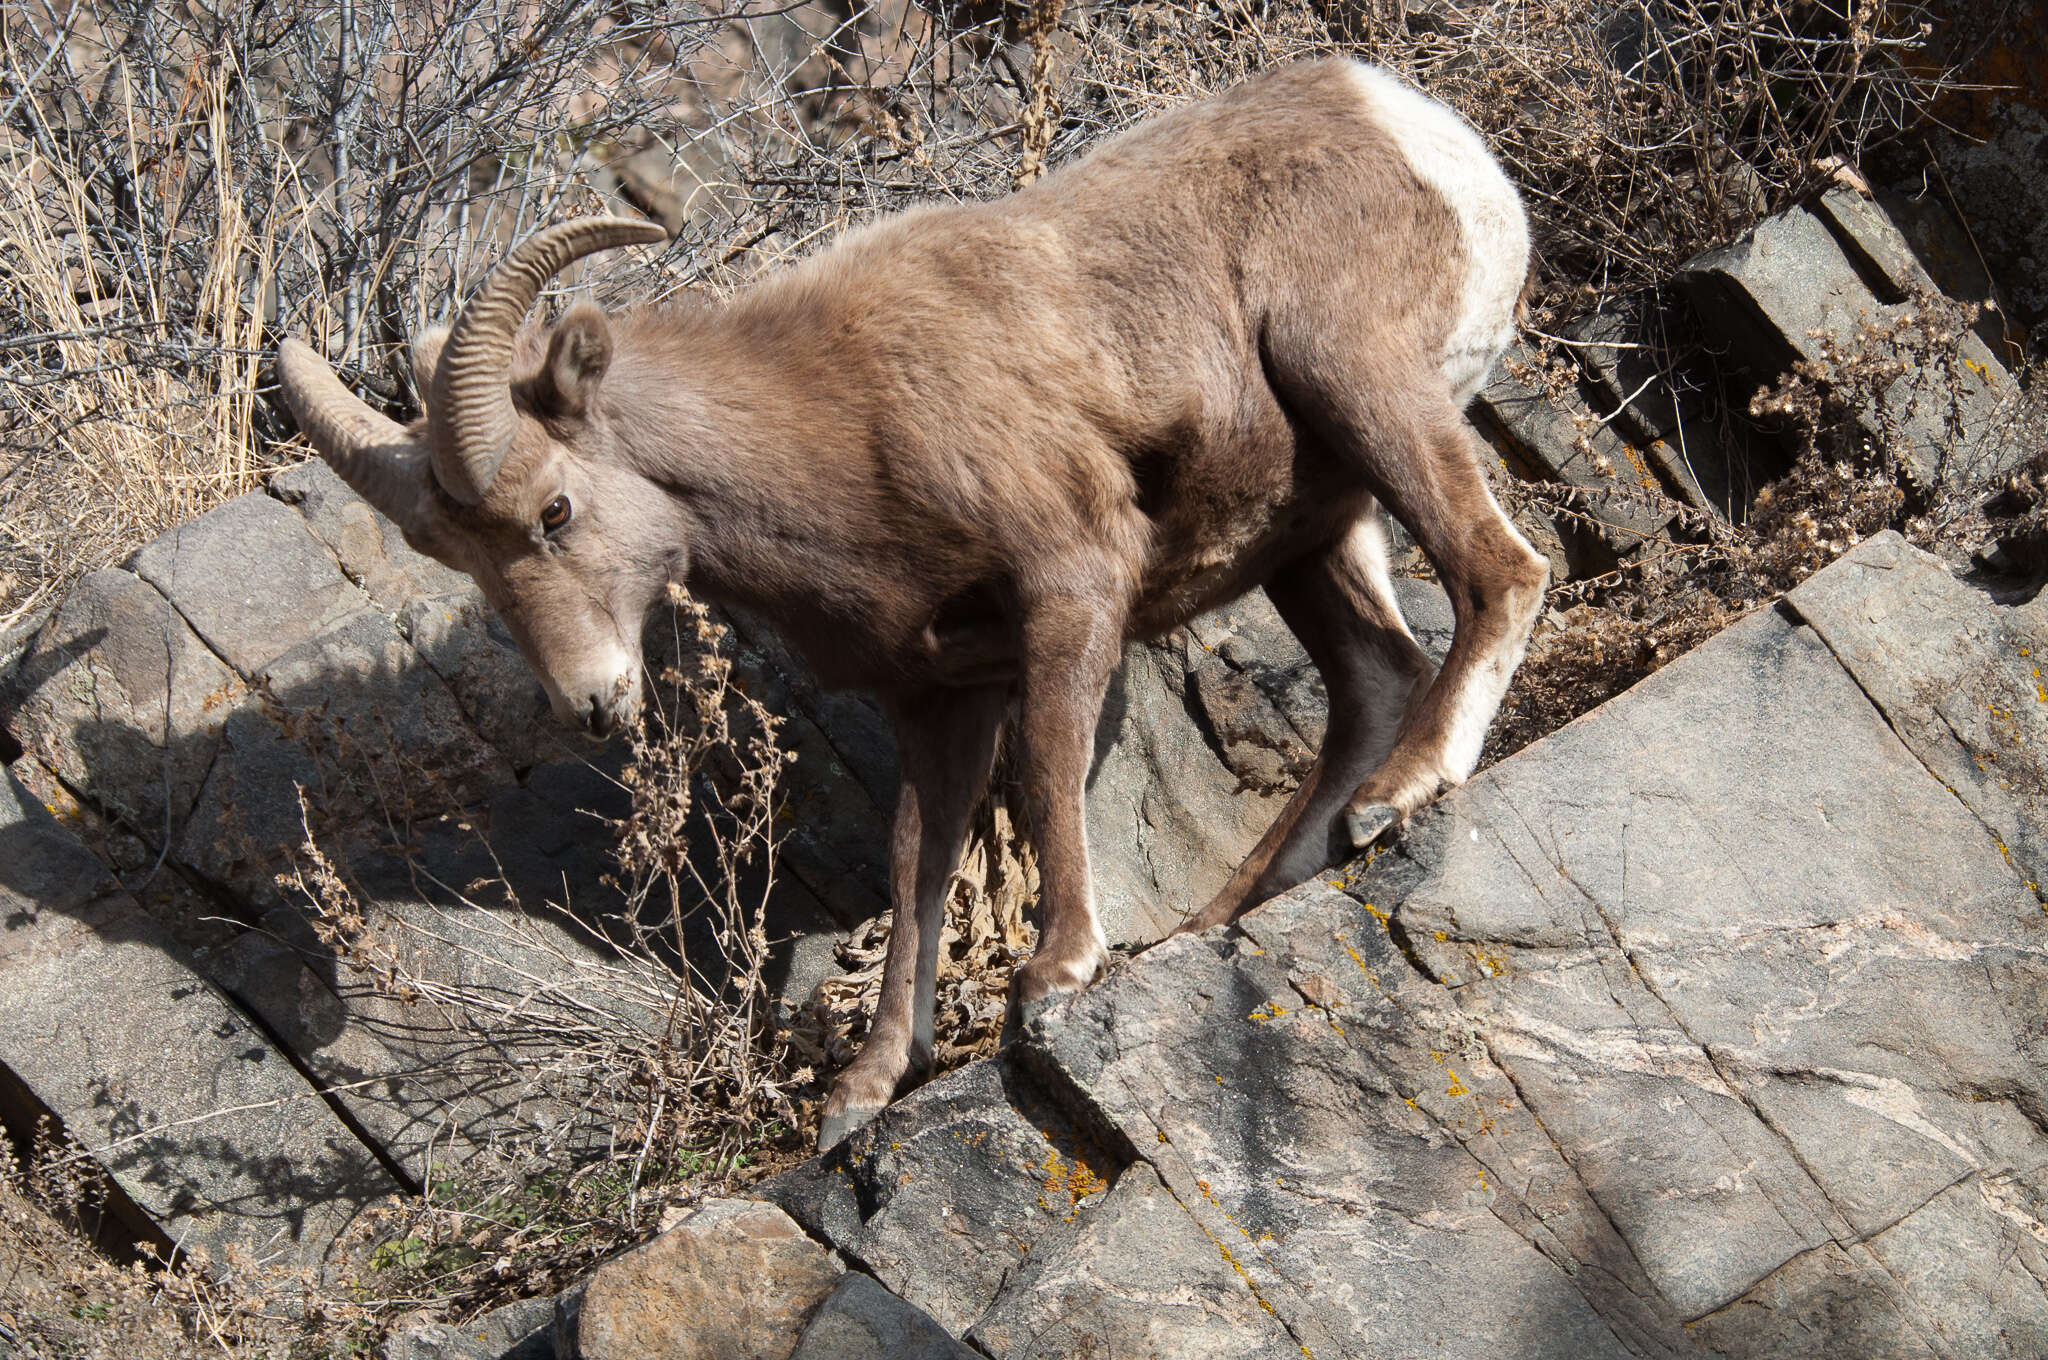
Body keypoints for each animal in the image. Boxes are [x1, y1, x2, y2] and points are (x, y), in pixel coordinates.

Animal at [280, 61, 1540, 1146]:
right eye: (466, 565)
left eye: (553, 509)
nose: (592, 702)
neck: (842, 425)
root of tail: (1414, 128)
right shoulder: (936, 695)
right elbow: (914, 867)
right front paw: (866, 1090)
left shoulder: (1069, 587)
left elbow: (1044, 773)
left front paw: (1054, 973)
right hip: (1308, 531)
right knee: (1374, 675)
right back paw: (1239, 901)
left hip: (1356, 384)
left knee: (1502, 570)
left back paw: (1399, 797)